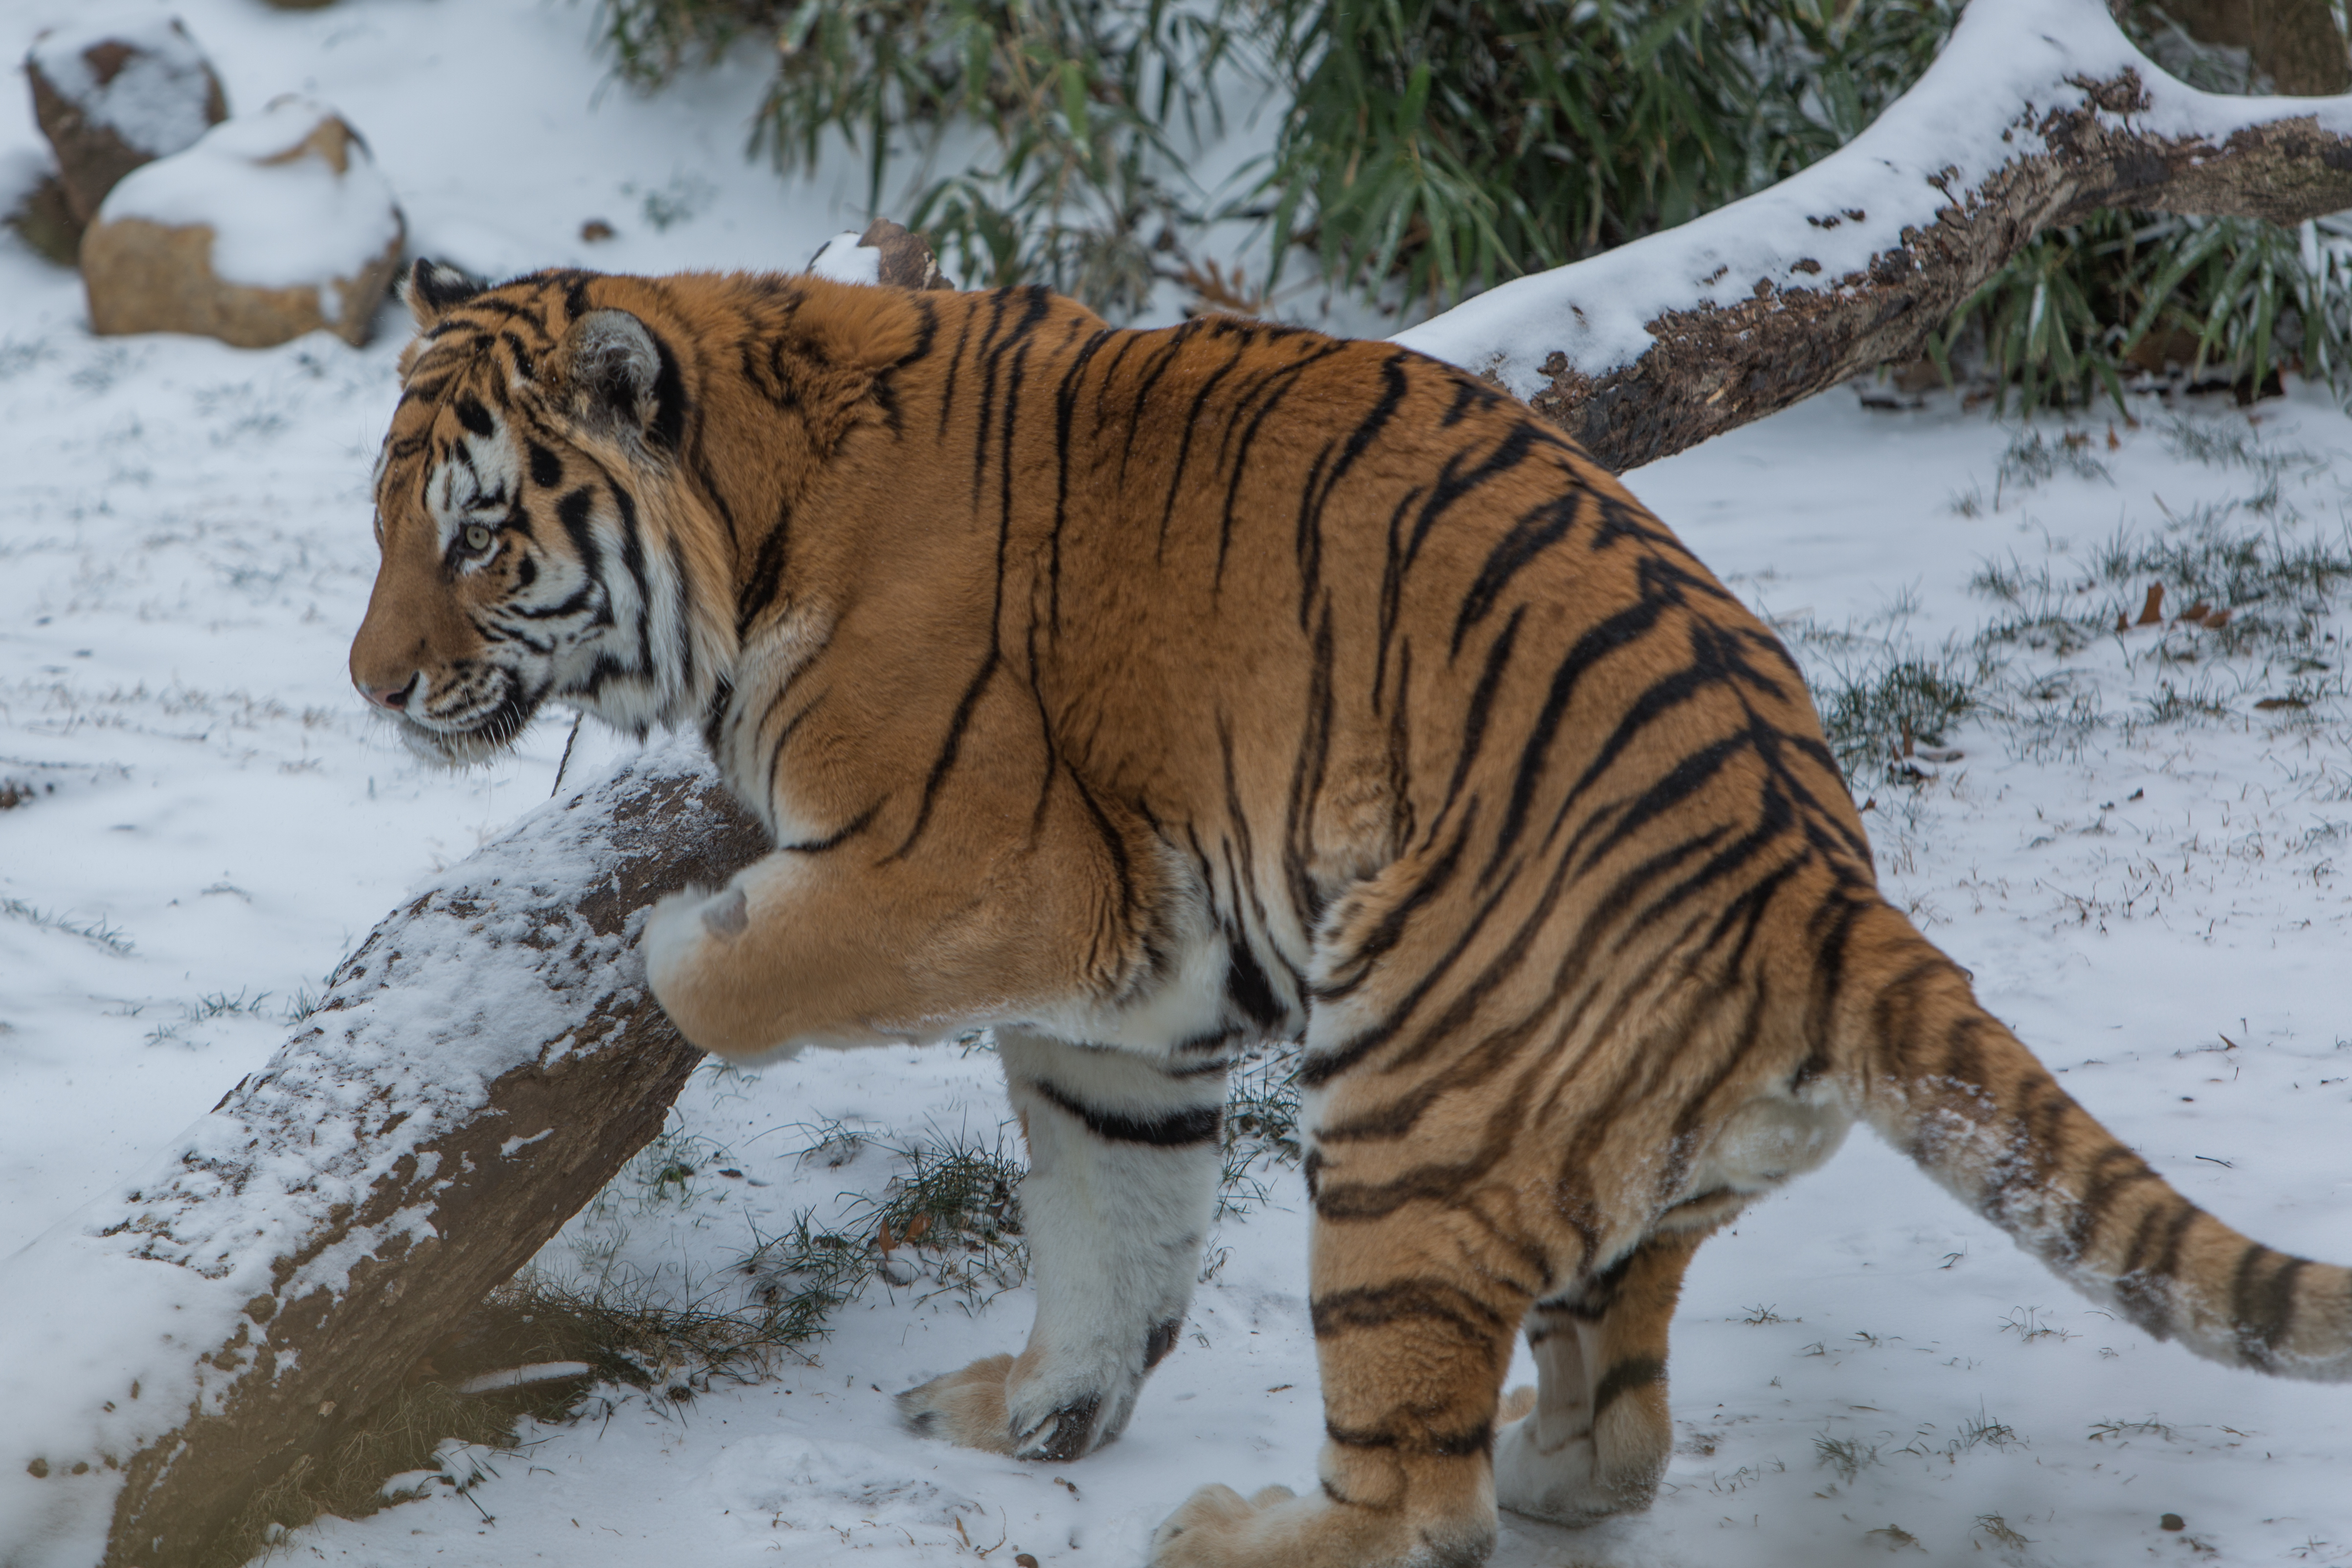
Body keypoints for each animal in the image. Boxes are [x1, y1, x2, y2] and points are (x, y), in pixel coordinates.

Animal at [348, 261, 2352, 1568]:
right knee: (1620, 1419)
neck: (759, 510)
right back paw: (1551, 1459)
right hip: (1611, 1171)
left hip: (1403, 1114)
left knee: (1419, 1509)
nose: (369, 687)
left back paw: (1236, 1533)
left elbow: (748, 974)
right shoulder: (1127, 999)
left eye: (477, 534)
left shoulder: (994, 868)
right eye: (381, 525)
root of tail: (1823, 883)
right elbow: (1113, 1225)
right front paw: (1038, 1414)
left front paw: (678, 946)